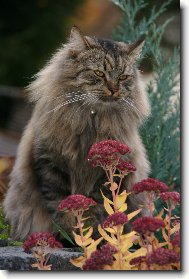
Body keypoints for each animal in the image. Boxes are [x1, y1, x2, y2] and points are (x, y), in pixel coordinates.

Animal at [2, 26, 151, 241]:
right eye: (99, 73)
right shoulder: (51, 163)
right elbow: (61, 203)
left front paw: (92, 237)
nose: (114, 90)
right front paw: (70, 235)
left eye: (123, 77)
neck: (91, 120)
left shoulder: (108, 170)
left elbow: (98, 206)